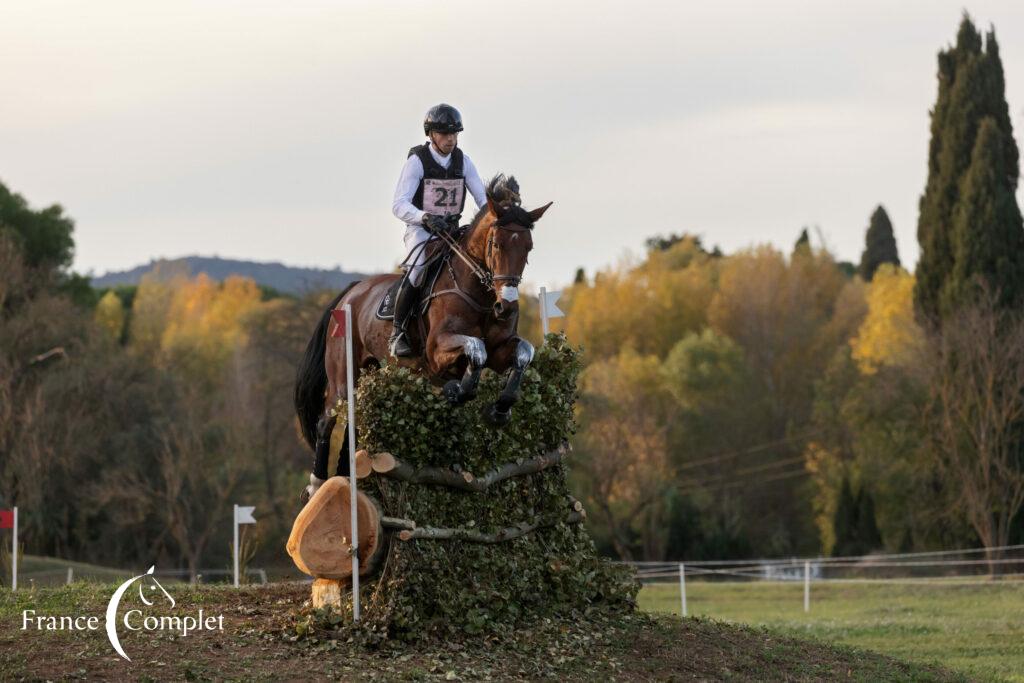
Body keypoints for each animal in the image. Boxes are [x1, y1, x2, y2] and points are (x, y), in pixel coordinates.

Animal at [296, 175, 552, 497]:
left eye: (528, 248)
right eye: (496, 244)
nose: (506, 307)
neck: (479, 293)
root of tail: (350, 294)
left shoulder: (501, 350)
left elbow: (523, 353)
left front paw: (500, 409)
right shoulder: (437, 350)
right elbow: (476, 349)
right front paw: (457, 390)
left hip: (367, 371)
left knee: (351, 422)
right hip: (343, 375)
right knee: (326, 420)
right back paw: (317, 484)